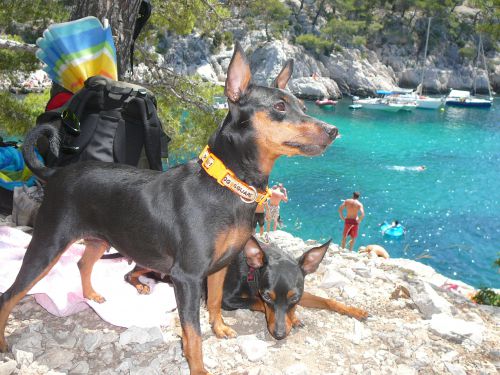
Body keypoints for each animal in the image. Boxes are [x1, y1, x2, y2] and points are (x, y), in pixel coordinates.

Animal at [0, 42, 338, 374]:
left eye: (303, 107)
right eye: (279, 108)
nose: (333, 130)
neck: (226, 186)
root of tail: (55, 173)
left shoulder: (220, 267)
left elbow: (214, 303)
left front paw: (220, 328)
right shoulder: (187, 277)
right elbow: (193, 334)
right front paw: (198, 367)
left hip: (100, 238)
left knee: (84, 263)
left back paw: (92, 296)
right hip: (47, 245)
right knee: (10, 294)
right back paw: (4, 343)